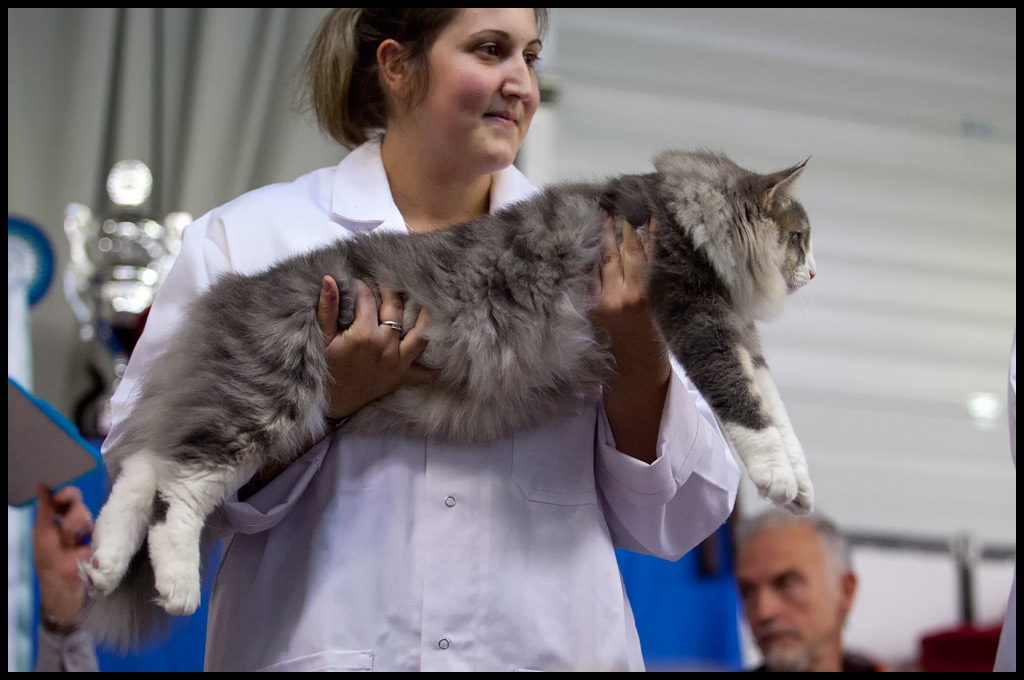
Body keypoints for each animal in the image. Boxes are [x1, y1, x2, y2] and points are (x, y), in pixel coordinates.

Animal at [77, 148, 815, 647]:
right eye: (801, 237)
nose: (812, 273)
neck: (686, 211)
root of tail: (228, 296)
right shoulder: (695, 315)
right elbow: (746, 411)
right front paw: (777, 478)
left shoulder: (739, 337)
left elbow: (777, 411)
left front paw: (802, 483)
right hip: (267, 401)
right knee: (178, 492)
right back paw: (176, 586)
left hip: (227, 405)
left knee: (143, 470)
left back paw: (104, 564)